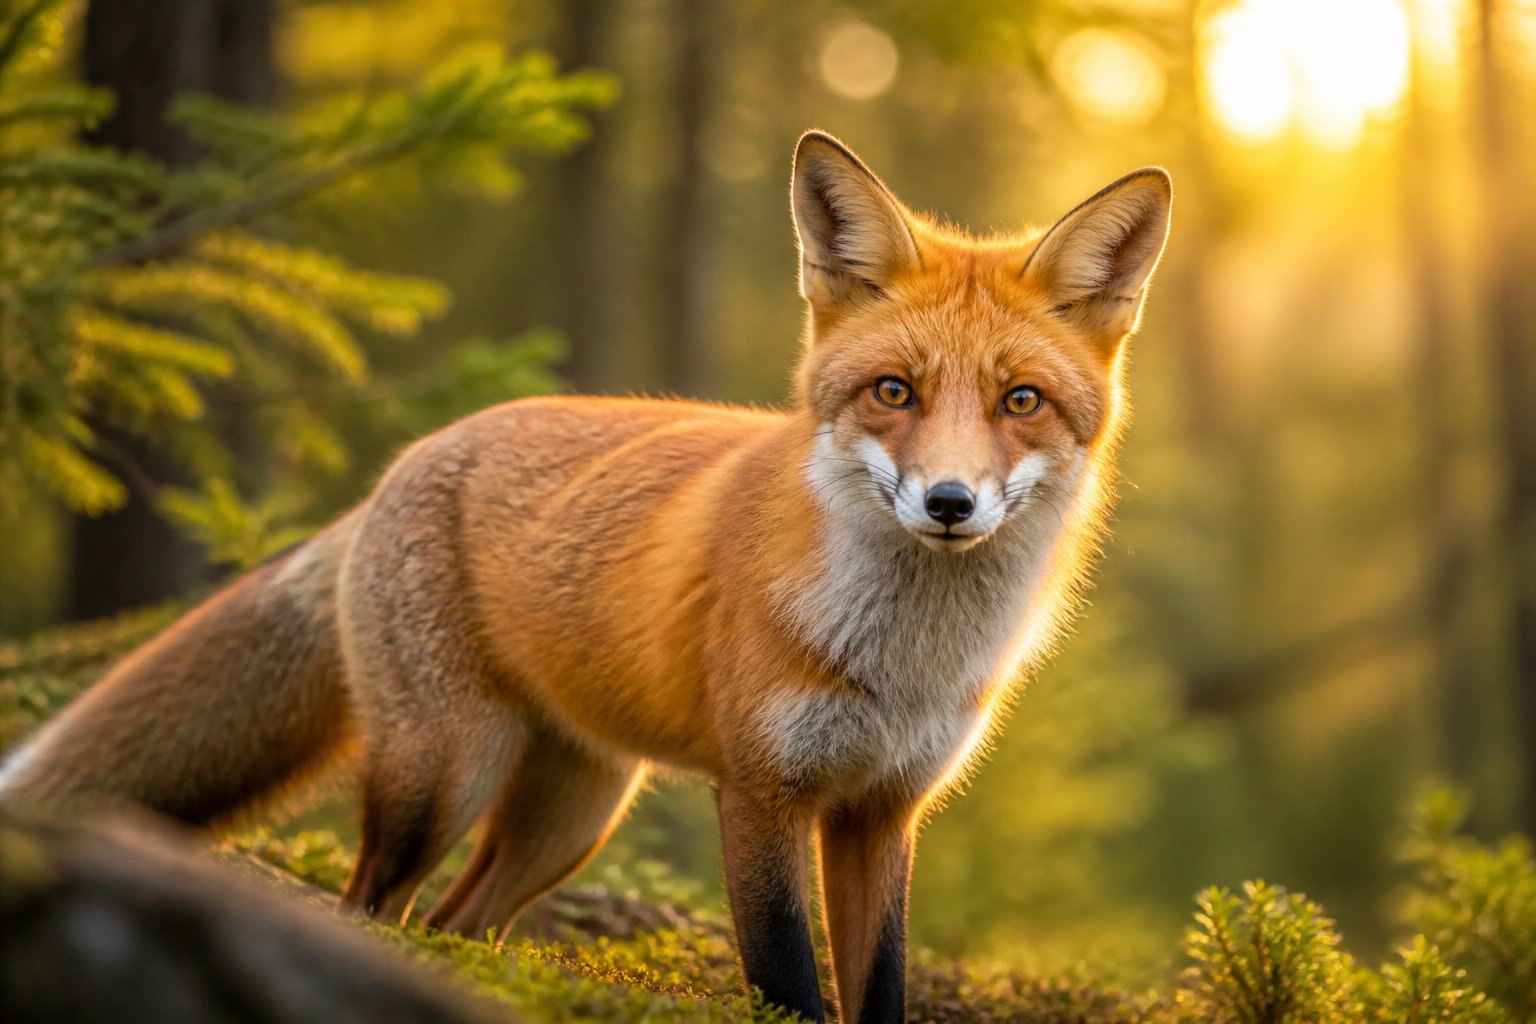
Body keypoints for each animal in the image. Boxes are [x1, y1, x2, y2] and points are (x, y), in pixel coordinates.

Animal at [0, 131, 1170, 1023]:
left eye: (1020, 401)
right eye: (894, 391)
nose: (949, 503)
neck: (904, 659)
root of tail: (412, 459)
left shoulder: (884, 812)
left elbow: (876, 988)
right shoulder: (760, 793)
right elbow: (789, 983)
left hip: (574, 813)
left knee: (457, 925)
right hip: (445, 771)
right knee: (371, 907)